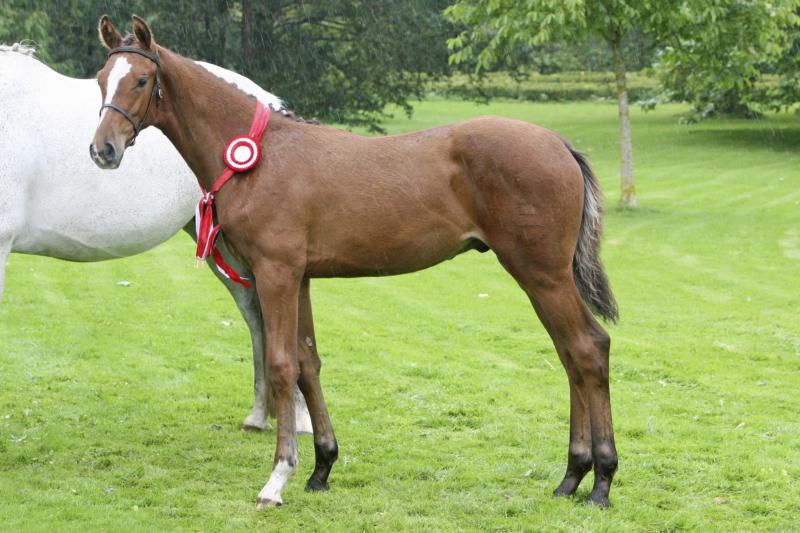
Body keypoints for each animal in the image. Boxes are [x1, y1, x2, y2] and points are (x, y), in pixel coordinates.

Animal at [89, 16, 620, 508]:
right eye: (100, 78)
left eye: (141, 80)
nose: (102, 150)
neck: (262, 158)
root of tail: (558, 144)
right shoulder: (300, 277)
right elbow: (308, 363)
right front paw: (321, 467)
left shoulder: (276, 273)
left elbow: (281, 365)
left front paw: (277, 478)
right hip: (541, 278)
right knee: (570, 355)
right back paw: (572, 477)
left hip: (542, 274)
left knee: (587, 349)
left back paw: (601, 482)